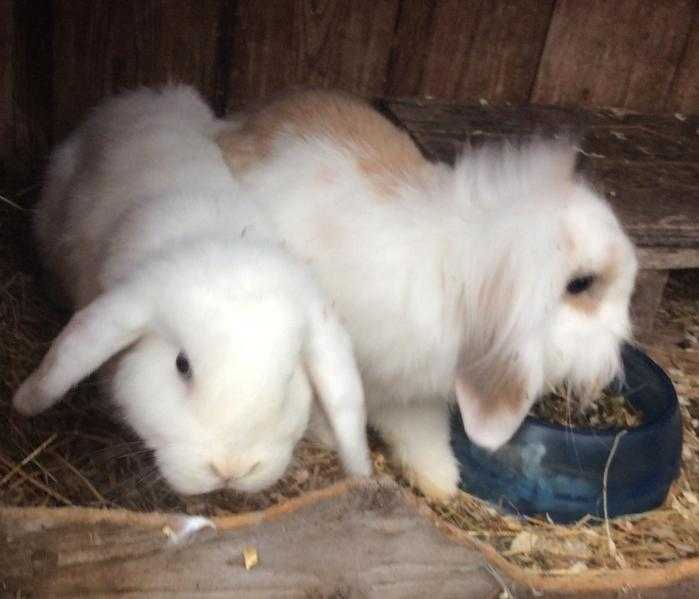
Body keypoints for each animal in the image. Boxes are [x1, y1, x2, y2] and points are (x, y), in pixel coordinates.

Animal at [217, 89, 640, 502]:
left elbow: (422, 434)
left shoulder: (414, 396)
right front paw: (330, 439)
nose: (622, 338)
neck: (454, 278)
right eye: (580, 284)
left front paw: (441, 481)